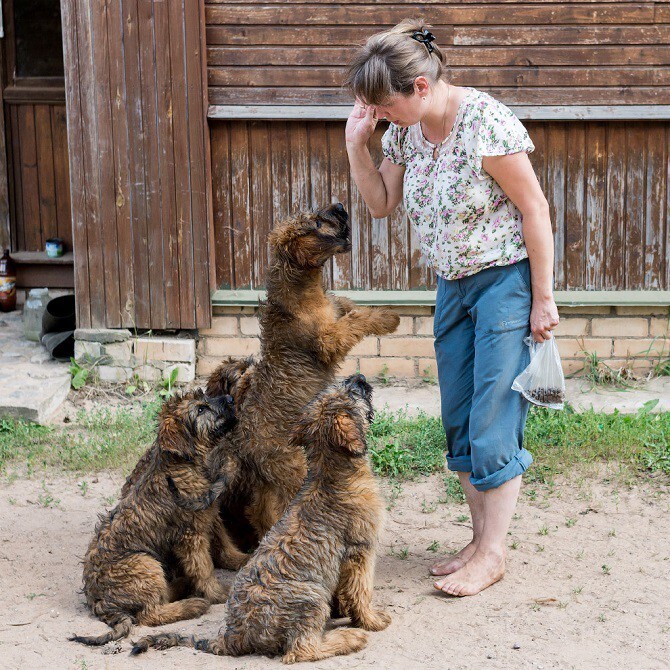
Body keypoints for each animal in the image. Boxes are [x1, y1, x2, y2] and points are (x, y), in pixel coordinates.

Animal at [69, 392, 247, 648]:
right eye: (200, 410)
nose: (231, 398)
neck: (182, 464)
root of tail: (98, 601)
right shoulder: (190, 536)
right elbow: (204, 568)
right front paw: (219, 594)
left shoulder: (210, 515)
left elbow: (224, 546)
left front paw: (244, 559)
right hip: (144, 563)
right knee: (149, 614)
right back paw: (193, 604)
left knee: (159, 599)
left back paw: (182, 586)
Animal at [132, 376, 392, 664]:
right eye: (352, 393)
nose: (360, 378)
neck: (332, 475)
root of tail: (231, 637)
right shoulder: (361, 553)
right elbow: (361, 592)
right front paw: (371, 621)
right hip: (311, 596)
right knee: (301, 650)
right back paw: (350, 638)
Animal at [220, 203, 400, 540]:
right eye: (315, 224)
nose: (340, 206)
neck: (303, 291)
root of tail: (244, 446)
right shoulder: (330, 339)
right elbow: (354, 321)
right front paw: (390, 318)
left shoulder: (336, 306)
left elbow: (353, 308)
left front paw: (385, 314)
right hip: (293, 468)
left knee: (261, 511)